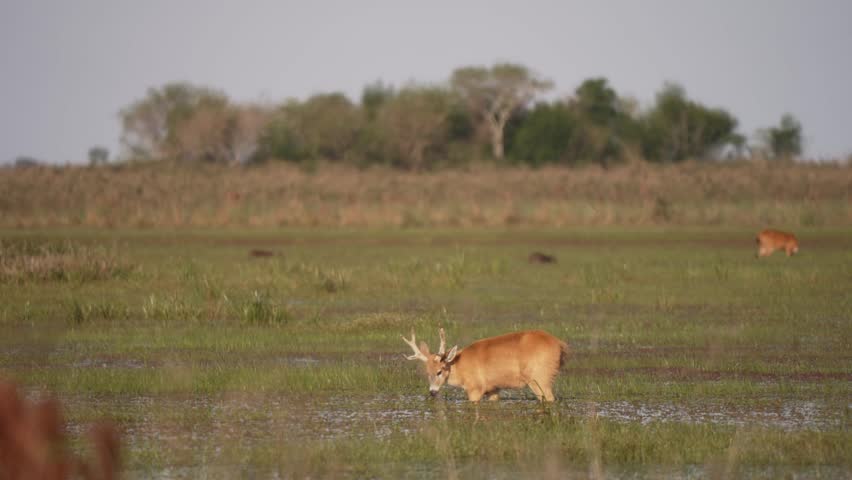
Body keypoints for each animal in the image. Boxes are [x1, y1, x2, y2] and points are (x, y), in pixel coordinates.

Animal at [402, 328, 570, 402]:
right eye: (428, 373)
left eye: (440, 371)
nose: (432, 392)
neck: (460, 366)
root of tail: (560, 345)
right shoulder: (493, 389)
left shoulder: (475, 387)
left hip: (539, 377)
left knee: (549, 398)